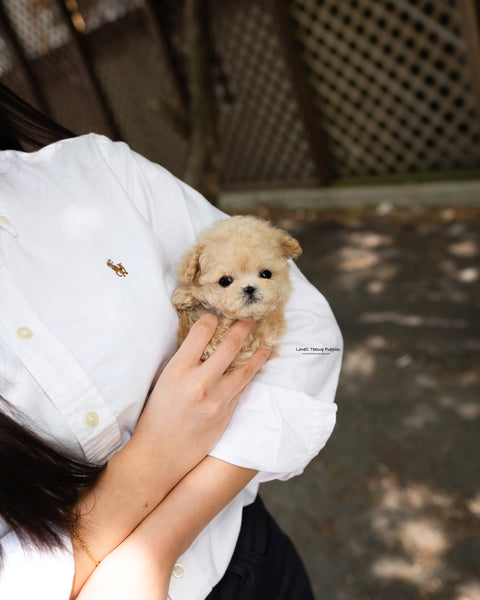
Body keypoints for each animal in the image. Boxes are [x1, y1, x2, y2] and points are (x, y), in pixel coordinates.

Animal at [172, 216, 300, 370]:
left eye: (266, 274)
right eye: (224, 281)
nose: (249, 288)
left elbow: (227, 324)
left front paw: (211, 342)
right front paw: (185, 296)